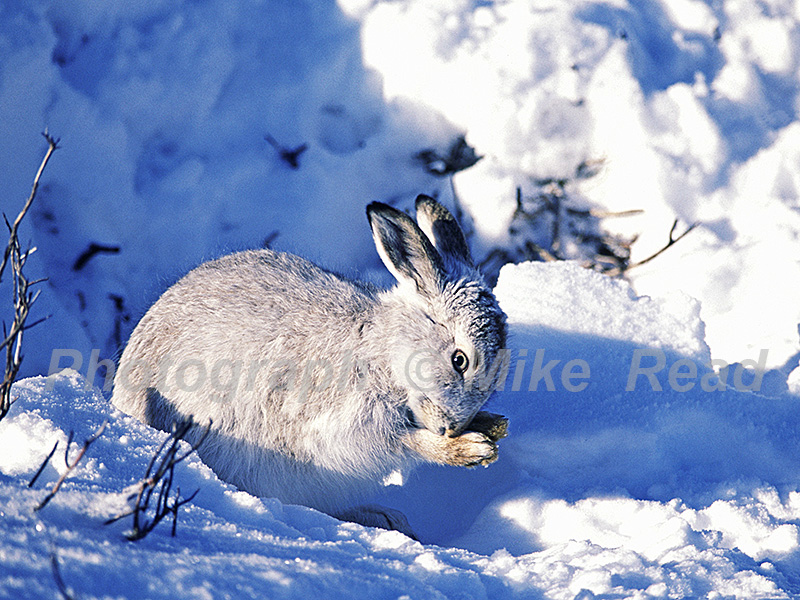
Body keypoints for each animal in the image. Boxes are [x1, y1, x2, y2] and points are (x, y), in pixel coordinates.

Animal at [111, 194, 508, 537]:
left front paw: (493, 426)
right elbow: (400, 441)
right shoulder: (342, 425)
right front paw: (469, 450)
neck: (385, 354)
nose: (451, 427)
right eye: (459, 360)